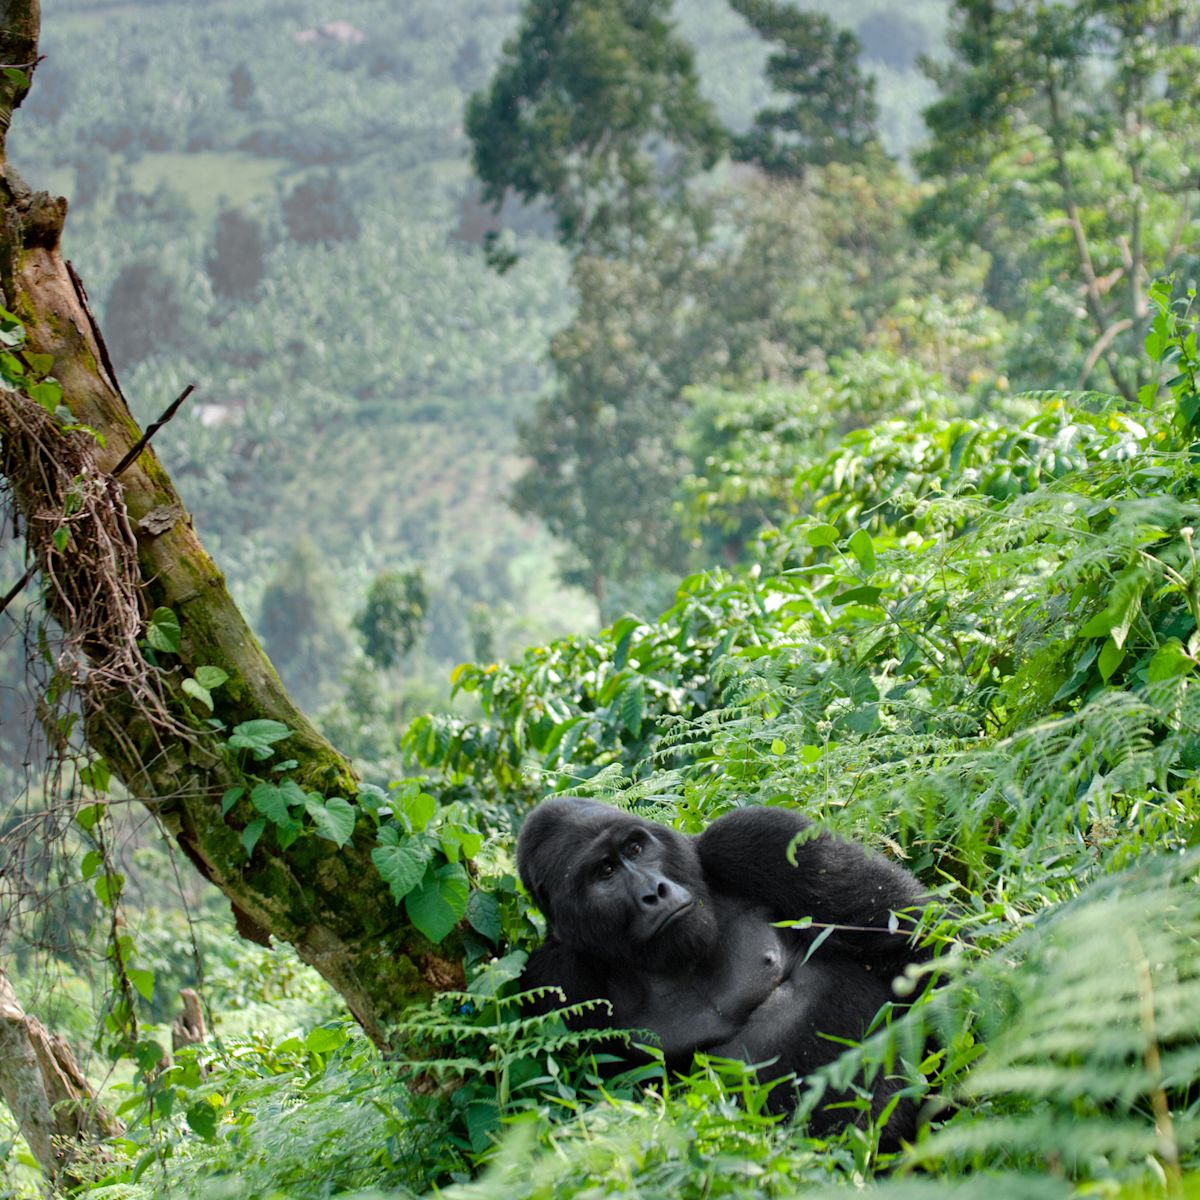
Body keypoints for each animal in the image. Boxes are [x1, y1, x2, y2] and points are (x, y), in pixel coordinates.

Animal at [516, 801, 936, 1137]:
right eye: (605, 872)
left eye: (635, 848)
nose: (655, 892)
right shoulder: (555, 979)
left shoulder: (757, 838)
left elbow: (910, 938)